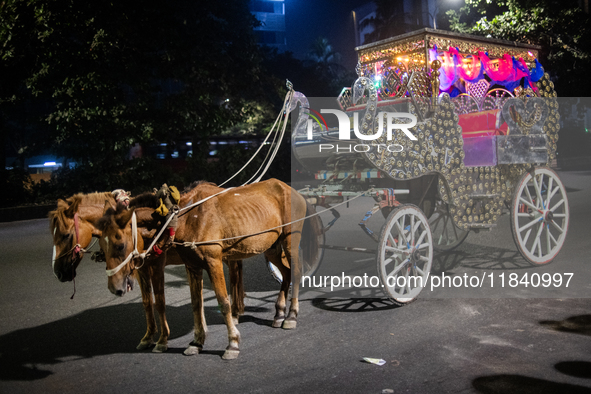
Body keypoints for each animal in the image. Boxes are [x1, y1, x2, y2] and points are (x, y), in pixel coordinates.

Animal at [48, 190, 246, 350]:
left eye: (65, 235)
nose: (58, 272)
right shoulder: (141, 267)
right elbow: (146, 302)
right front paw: (148, 337)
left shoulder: (157, 264)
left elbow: (160, 302)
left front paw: (162, 340)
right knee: (237, 270)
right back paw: (238, 309)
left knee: (235, 272)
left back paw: (236, 312)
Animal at [99, 180, 322, 358]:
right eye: (102, 244)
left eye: (119, 245)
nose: (114, 287)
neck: (183, 217)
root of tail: (291, 189)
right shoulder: (191, 265)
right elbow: (195, 304)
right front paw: (196, 342)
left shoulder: (212, 261)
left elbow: (223, 302)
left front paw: (232, 343)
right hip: (271, 247)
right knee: (285, 272)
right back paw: (279, 313)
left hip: (290, 240)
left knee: (296, 272)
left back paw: (291, 315)